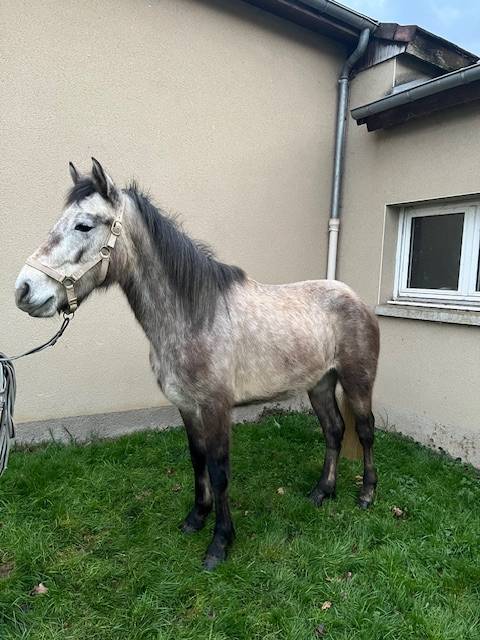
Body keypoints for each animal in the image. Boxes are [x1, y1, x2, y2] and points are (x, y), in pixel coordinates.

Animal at [15, 159, 380, 570]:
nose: (24, 290)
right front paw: (196, 517)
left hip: (357, 381)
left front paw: (220, 542)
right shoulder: (187, 407)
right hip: (320, 384)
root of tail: (356, 299)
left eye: (84, 225)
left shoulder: (216, 407)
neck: (193, 315)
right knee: (333, 431)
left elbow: (219, 471)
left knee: (364, 431)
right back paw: (322, 492)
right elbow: (197, 460)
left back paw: (366, 495)